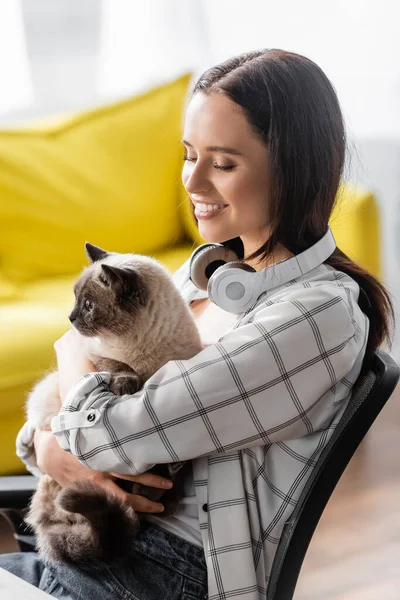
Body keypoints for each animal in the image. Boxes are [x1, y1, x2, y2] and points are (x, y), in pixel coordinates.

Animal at [24, 241, 203, 568]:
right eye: (76, 300)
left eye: (88, 305)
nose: (70, 317)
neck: (144, 350)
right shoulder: (94, 354)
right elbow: (117, 365)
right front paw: (127, 382)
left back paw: (169, 481)